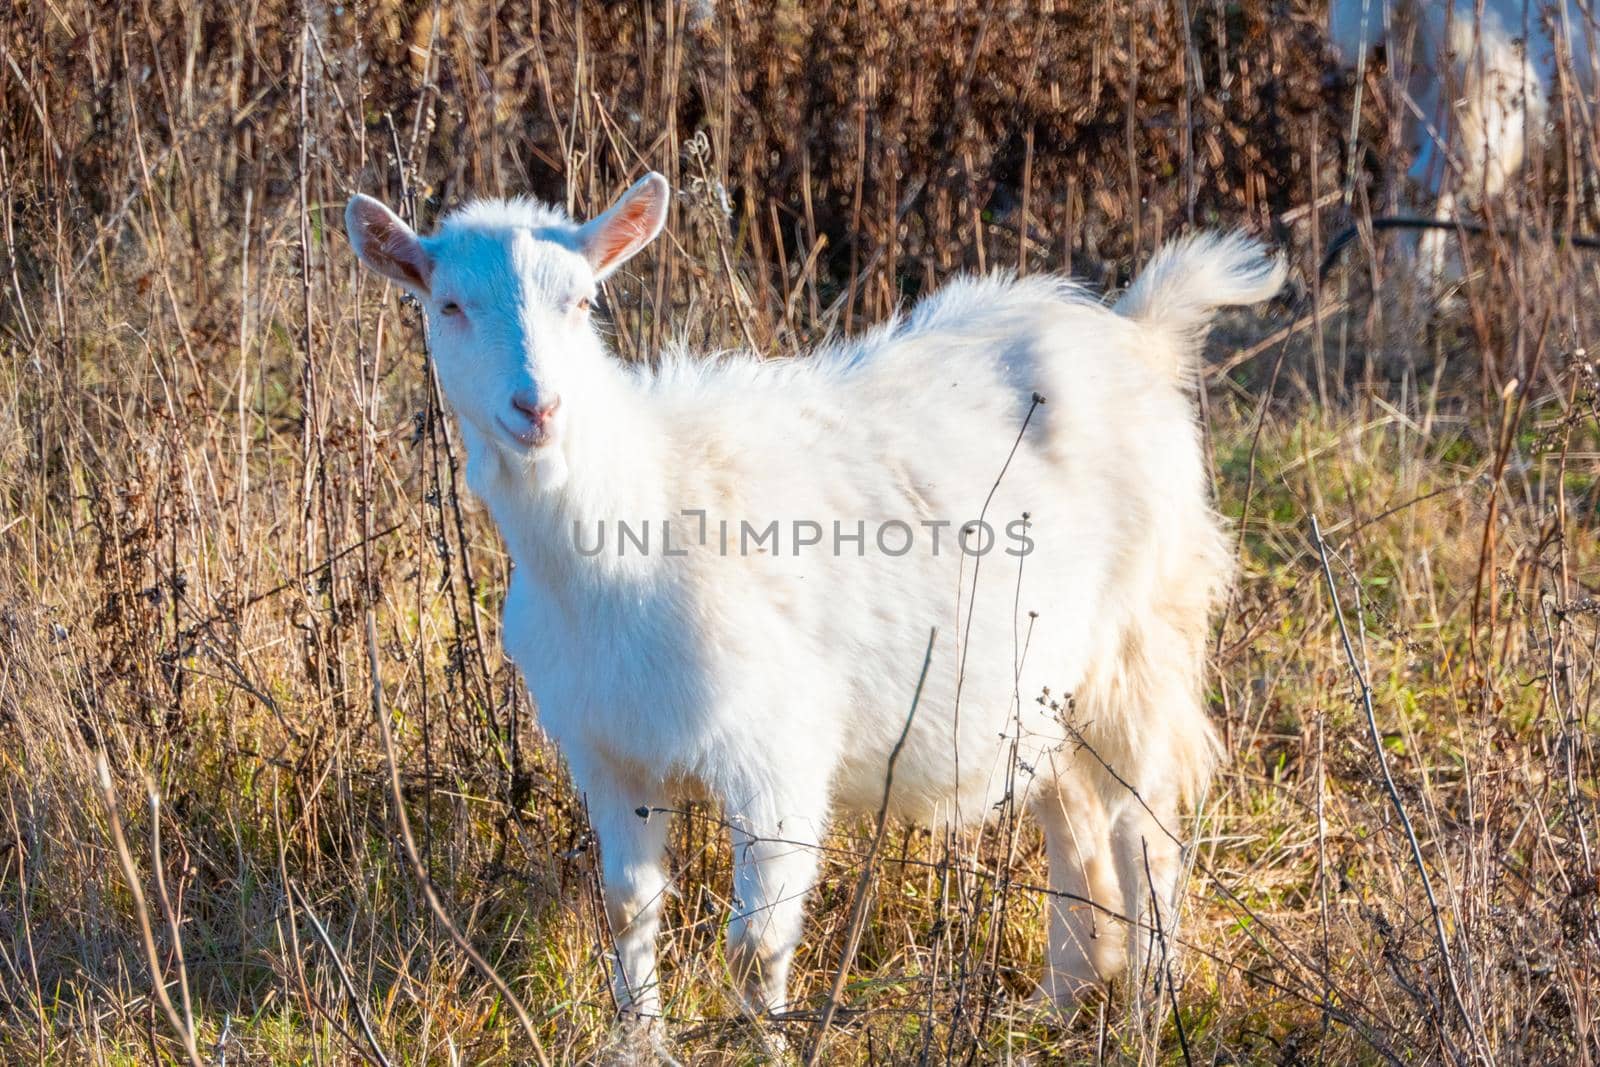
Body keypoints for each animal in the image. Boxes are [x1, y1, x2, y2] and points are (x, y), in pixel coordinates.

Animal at [344, 177, 1280, 1023]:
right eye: (449, 305)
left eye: (582, 301)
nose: (536, 407)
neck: (637, 512)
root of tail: (1142, 334)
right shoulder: (614, 751)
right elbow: (628, 907)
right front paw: (639, 1037)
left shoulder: (777, 749)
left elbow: (755, 943)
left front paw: (766, 1039)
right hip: (1046, 686)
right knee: (1073, 815)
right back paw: (1061, 997)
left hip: (1143, 640)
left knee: (1143, 822)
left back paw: (1150, 1007)